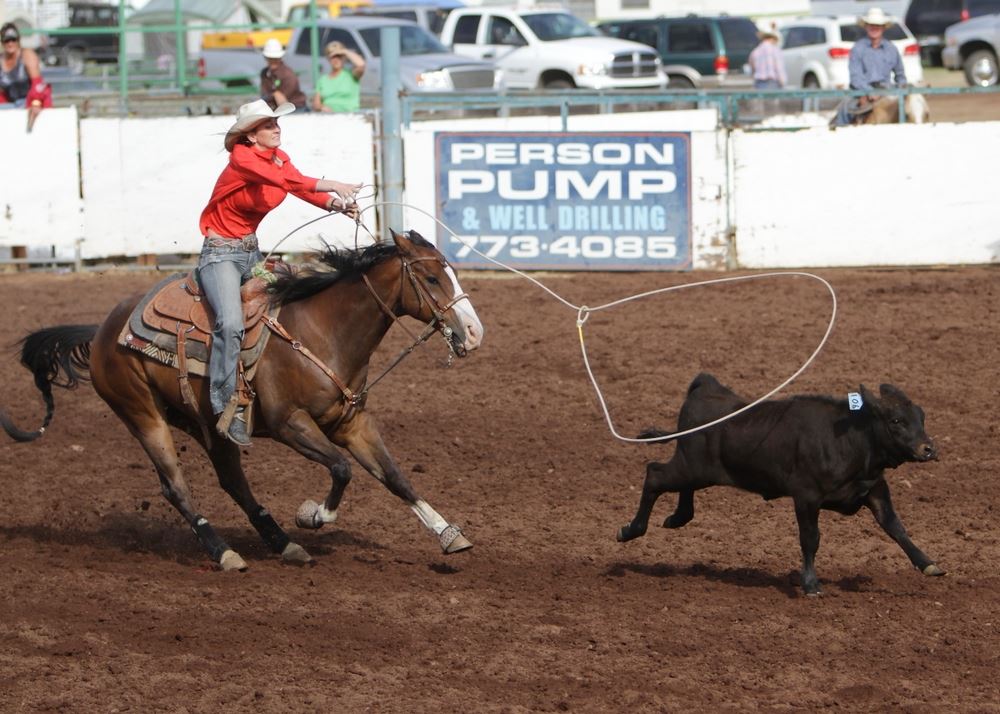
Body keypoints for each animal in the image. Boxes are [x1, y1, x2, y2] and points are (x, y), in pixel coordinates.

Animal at [617, 373, 943, 596]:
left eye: (922, 417)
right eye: (896, 420)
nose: (928, 449)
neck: (851, 442)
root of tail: (706, 388)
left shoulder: (875, 490)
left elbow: (896, 528)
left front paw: (927, 563)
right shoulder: (807, 496)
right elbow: (810, 538)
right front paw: (810, 583)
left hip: (694, 468)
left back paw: (676, 518)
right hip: (690, 467)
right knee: (654, 475)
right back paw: (630, 530)